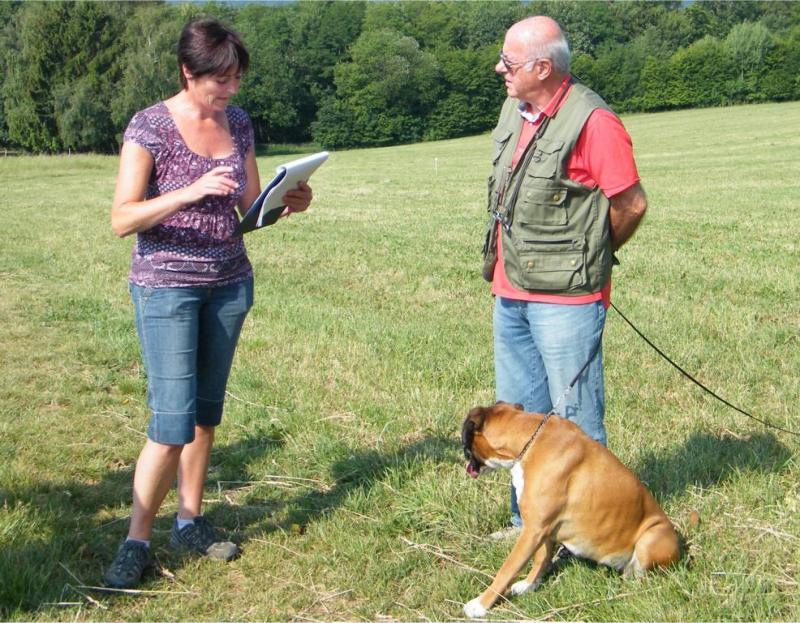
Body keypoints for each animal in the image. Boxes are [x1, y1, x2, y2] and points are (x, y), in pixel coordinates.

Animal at [460, 404, 680, 620]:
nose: (466, 464)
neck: (530, 440)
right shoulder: (543, 529)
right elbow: (541, 559)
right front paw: (529, 585)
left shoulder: (532, 531)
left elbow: (507, 569)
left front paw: (480, 605)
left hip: (651, 537)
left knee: (642, 576)